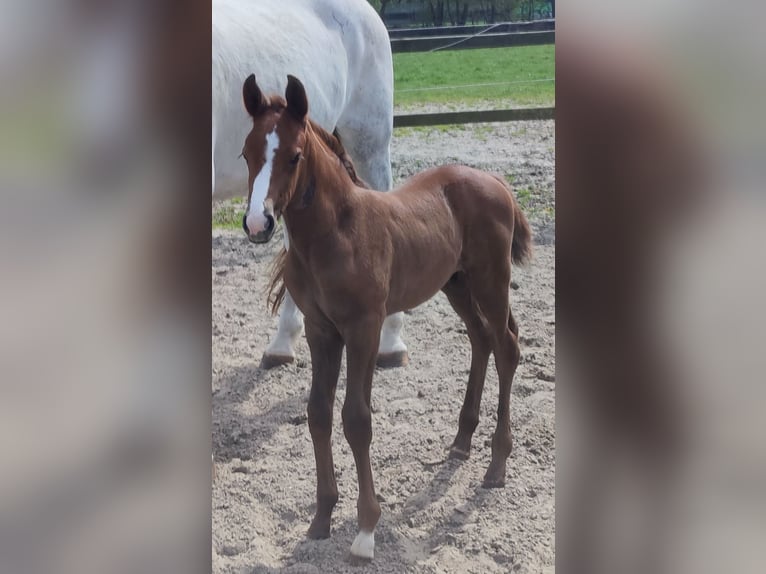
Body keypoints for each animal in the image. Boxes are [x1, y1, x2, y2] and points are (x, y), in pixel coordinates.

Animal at [242, 74, 536, 560]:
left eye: (294, 156)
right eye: (246, 153)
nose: (256, 223)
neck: (336, 234)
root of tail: (495, 180)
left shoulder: (364, 328)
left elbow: (357, 419)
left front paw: (365, 531)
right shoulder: (322, 331)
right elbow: (318, 413)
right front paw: (321, 519)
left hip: (490, 281)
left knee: (507, 345)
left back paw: (496, 464)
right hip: (455, 283)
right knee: (480, 340)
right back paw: (461, 442)